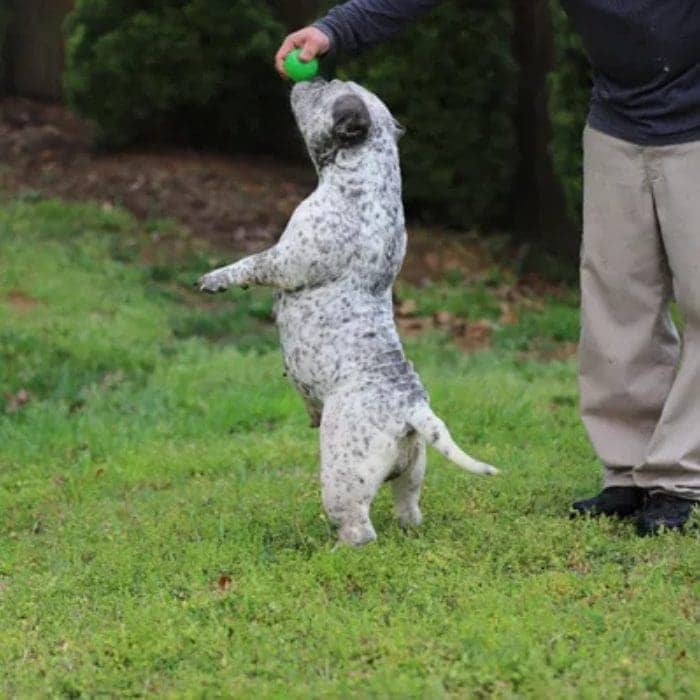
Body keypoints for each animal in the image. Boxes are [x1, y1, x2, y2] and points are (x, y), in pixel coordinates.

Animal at [197, 78, 498, 548]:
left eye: (328, 89)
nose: (309, 78)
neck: (367, 171)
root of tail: (411, 410)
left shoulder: (286, 259)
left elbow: (251, 263)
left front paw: (216, 278)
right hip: (413, 469)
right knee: (409, 506)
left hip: (342, 473)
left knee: (359, 527)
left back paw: (335, 550)